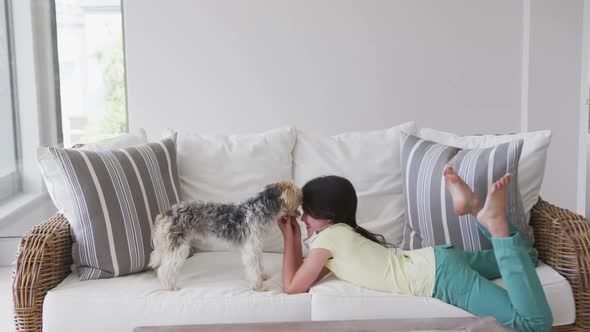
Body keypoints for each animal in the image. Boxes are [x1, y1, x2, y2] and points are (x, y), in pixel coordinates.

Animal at [148, 180, 306, 292]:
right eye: (300, 198)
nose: (300, 214)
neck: (258, 209)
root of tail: (166, 213)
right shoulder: (251, 248)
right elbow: (254, 268)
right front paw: (258, 286)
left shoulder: (256, 245)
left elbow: (259, 264)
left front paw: (262, 276)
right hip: (179, 247)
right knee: (164, 269)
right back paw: (169, 286)